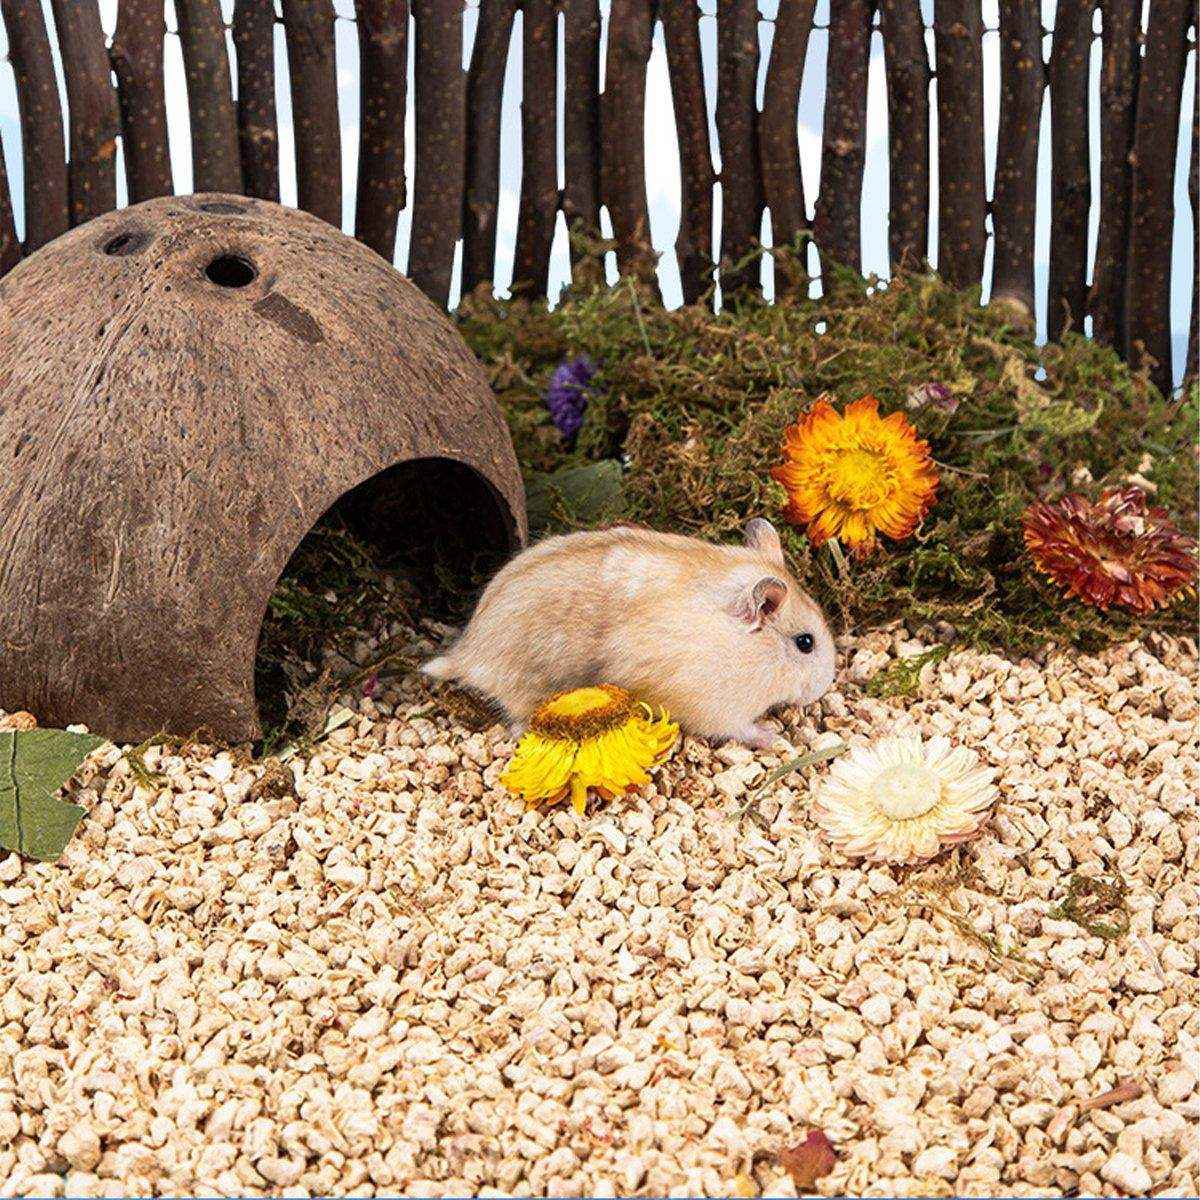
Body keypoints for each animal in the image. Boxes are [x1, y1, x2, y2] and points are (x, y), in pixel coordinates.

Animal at [422, 518, 836, 748]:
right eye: (805, 643)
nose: (825, 685)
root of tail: (465, 655)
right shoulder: (714, 706)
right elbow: (743, 728)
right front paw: (777, 740)